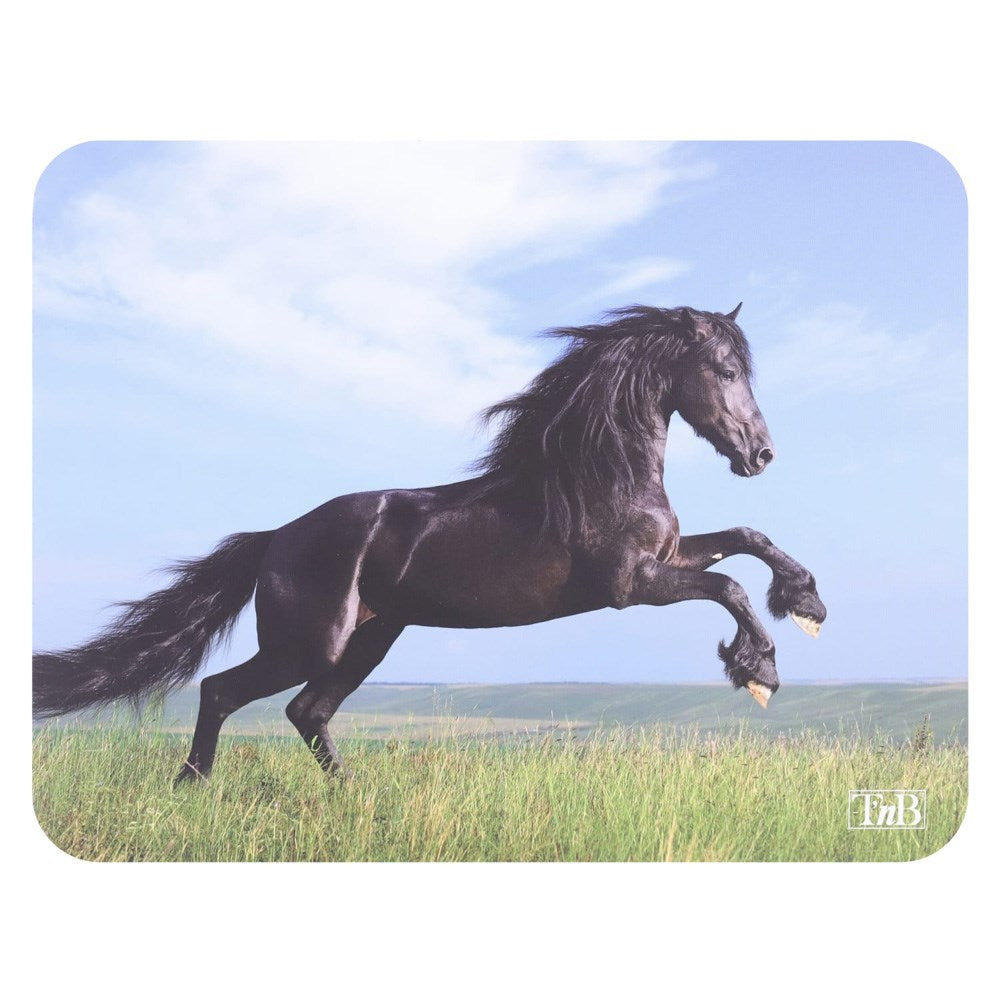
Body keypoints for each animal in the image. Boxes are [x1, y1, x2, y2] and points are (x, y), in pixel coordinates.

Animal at [33, 303, 827, 785]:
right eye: (726, 371)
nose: (760, 455)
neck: (597, 473)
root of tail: (275, 539)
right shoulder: (631, 585)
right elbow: (727, 585)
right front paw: (758, 669)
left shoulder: (665, 559)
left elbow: (746, 539)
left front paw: (806, 603)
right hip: (309, 643)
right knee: (224, 690)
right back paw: (193, 786)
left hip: (370, 639)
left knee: (307, 713)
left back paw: (351, 796)